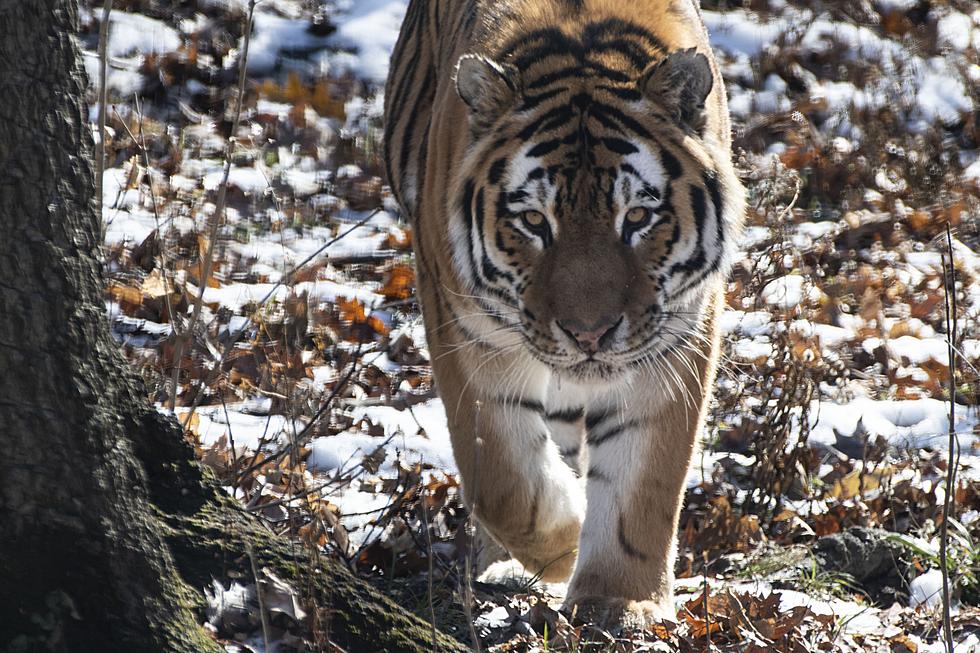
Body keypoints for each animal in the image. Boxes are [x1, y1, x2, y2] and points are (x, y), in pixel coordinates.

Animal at [382, 0, 744, 628]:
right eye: (534, 221)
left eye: (638, 217)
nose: (589, 334)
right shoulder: (465, 329)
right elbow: (501, 476)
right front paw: (565, 545)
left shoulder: (676, 336)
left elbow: (643, 479)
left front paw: (618, 600)